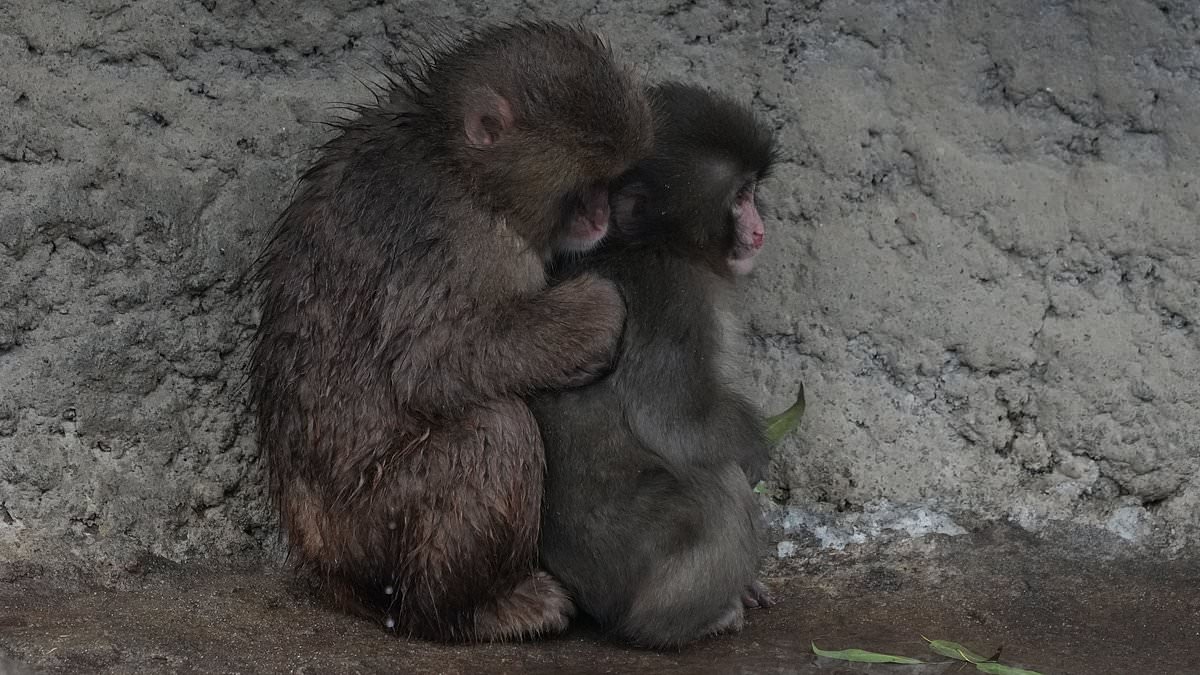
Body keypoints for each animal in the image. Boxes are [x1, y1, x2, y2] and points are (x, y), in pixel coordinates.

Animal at [247, 22, 653, 642]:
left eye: (610, 184)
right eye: (585, 186)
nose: (601, 217)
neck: (458, 164)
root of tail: (324, 560)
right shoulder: (467, 244)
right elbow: (430, 363)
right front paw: (594, 313)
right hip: (377, 524)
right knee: (496, 432)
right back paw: (468, 611)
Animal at [532, 81, 779, 649]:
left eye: (753, 191)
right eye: (739, 197)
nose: (759, 230)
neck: (656, 244)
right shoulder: (674, 297)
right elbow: (676, 419)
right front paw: (756, 450)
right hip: (621, 561)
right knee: (717, 489)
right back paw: (677, 623)